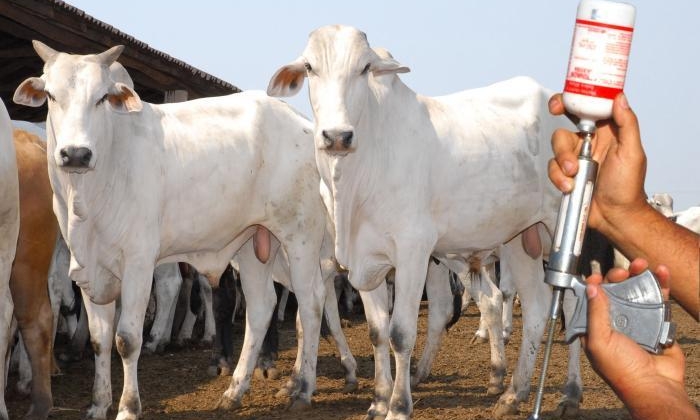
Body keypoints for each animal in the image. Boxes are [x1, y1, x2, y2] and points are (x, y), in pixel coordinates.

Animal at [15, 41, 330, 420]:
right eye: (51, 95)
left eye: (102, 97)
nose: (76, 154)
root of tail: (301, 122)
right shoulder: (88, 267)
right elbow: (99, 339)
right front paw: (98, 405)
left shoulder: (138, 263)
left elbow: (127, 339)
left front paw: (128, 407)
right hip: (253, 243)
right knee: (260, 307)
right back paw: (235, 391)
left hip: (300, 236)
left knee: (310, 301)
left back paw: (303, 387)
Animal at [268, 24, 576, 418]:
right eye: (309, 67)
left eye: (365, 68)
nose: (337, 136)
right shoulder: (364, 261)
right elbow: (377, 332)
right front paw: (378, 400)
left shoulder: (413, 251)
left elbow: (401, 333)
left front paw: (399, 405)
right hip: (521, 238)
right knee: (536, 307)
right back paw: (513, 393)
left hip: (566, 230)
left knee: (572, 305)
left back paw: (570, 393)